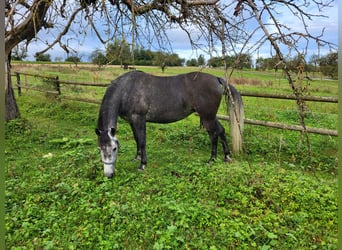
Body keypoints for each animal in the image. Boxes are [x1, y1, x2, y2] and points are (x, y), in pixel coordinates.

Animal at [95, 71, 243, 179]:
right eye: (99, 148)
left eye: (114, 148)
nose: (109, 175)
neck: (128, 88)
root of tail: (216, 79)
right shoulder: (132, 121)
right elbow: (137, 139)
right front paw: (137, 158)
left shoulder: (139, 119)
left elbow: (142, 141)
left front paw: (142, 165)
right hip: (209, 116)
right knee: (219, 132)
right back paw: (223, 157)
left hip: (207, 118)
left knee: (215, 134)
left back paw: (215, 159)